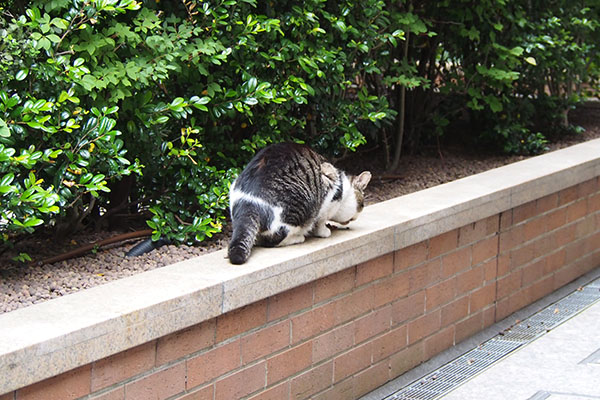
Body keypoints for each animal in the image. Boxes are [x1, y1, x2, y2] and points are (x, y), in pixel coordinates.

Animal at [229, 142, 372, 264]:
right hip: (299, 209)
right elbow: (320, 222)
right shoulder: (327, 198)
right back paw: (298, 237)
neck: (344, 190)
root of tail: (248, 205)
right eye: (362, 205)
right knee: (273, 240)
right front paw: (324, 231)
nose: (356, 217)